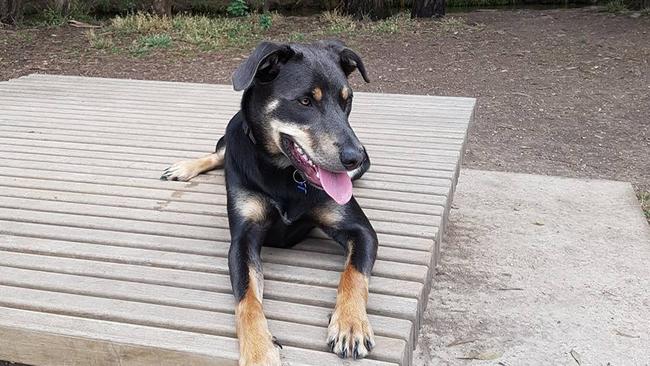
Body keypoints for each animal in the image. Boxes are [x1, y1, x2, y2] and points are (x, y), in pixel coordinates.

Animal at [159, 40, 378, 366]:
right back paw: (184, 167)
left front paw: (350, 323)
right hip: (231, 133)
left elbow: (354, 275)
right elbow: (247, 298)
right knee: (220, 153)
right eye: (304, 102)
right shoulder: (243, 240)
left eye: (346, 101)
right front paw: (259, 350)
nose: (355, 156)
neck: (284, 172)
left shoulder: (361, 230)